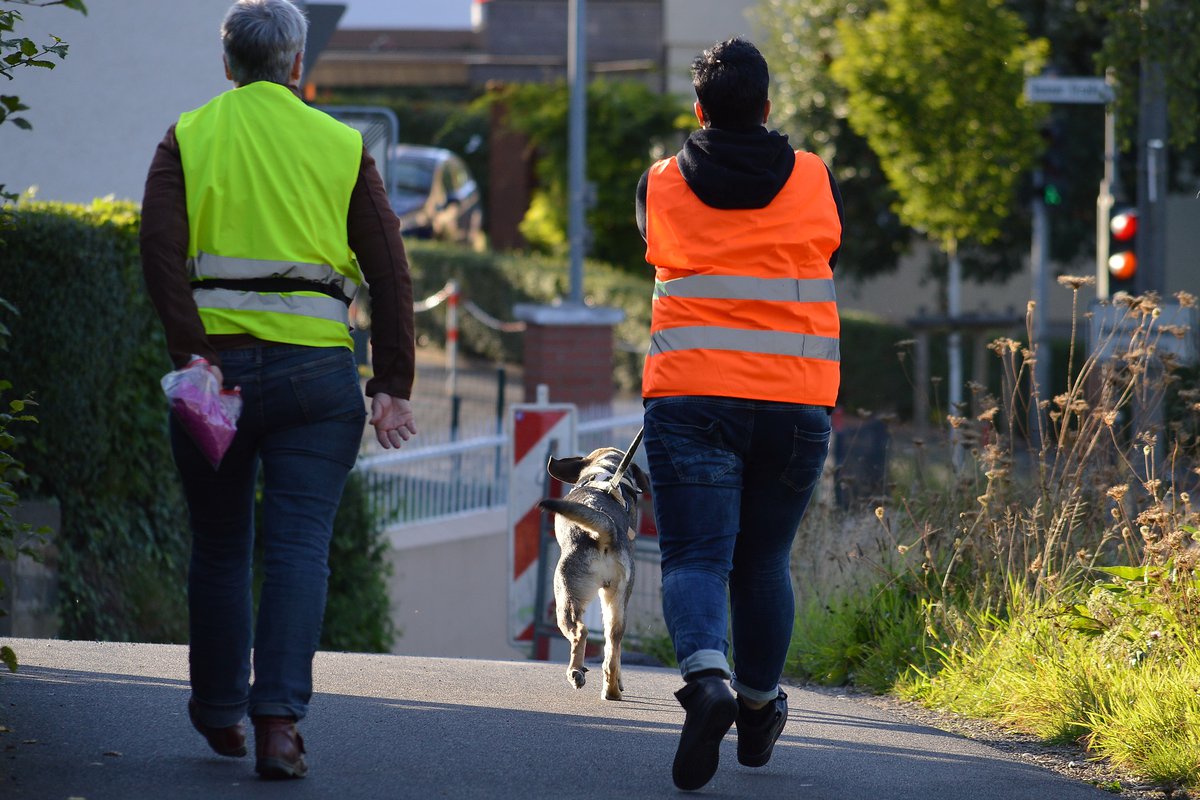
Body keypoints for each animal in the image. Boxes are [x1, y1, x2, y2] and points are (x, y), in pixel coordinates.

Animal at [542, 443, 652, 700]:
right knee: (612, 650)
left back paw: (575, 673)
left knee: (580, 632)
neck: (607, 470)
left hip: (566, 597)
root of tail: (605, 529)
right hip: (616, 603)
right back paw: (611, 690)